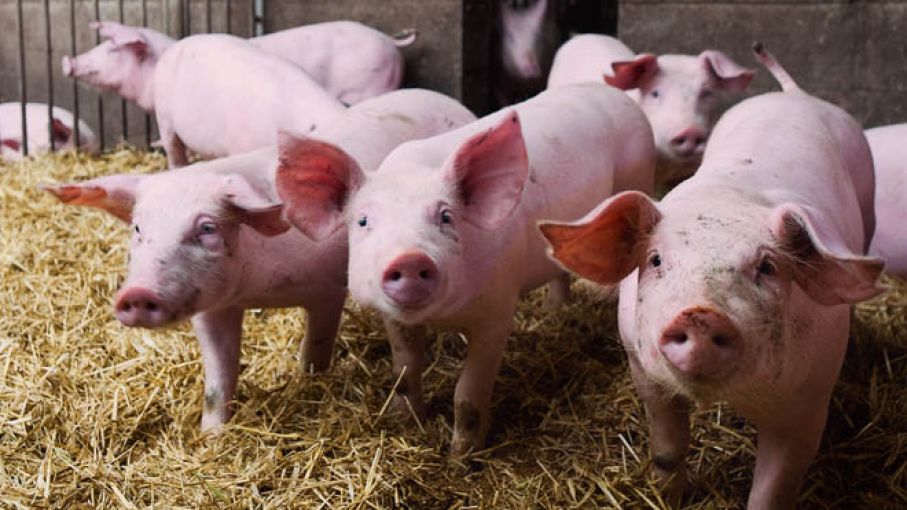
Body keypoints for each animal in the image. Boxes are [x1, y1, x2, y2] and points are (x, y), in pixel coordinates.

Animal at [42, 89, 477, 432]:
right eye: (137, 228)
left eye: (207, 228)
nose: (136, 294)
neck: (257, 289)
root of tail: (449, 100)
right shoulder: (213, 308)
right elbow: (218, 379)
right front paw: (211, 437)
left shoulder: (327, 288)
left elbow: (317, 345)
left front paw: (310, 378)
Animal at [276, 83, 656, 455]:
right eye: (363, 221)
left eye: (446, 216)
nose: (410, 258)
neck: (442, 317)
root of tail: (615, 94)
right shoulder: (395, 319)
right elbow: (404, 371)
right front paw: (405, 420)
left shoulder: (498, 311)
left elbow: (468, 394)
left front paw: (461, 456)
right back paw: (554, 309)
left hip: (637, 177)